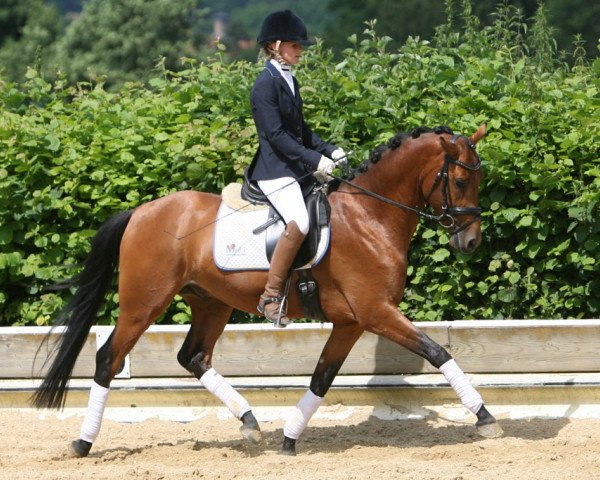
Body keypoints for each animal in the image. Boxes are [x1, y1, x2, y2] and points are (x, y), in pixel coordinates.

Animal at [31, 123, 502, 454]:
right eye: (461, 182)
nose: (471, 242)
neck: (370, 214)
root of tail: (140, 212)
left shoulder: (351, 322)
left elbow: (322, 378)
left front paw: (290, 439)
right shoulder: (375, 311)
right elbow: (437, 352)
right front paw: (485, 417)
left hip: (211, 303)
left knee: (193, 356)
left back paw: (249, 422)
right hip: (142, 304)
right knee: (109, 358)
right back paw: (83, 443)